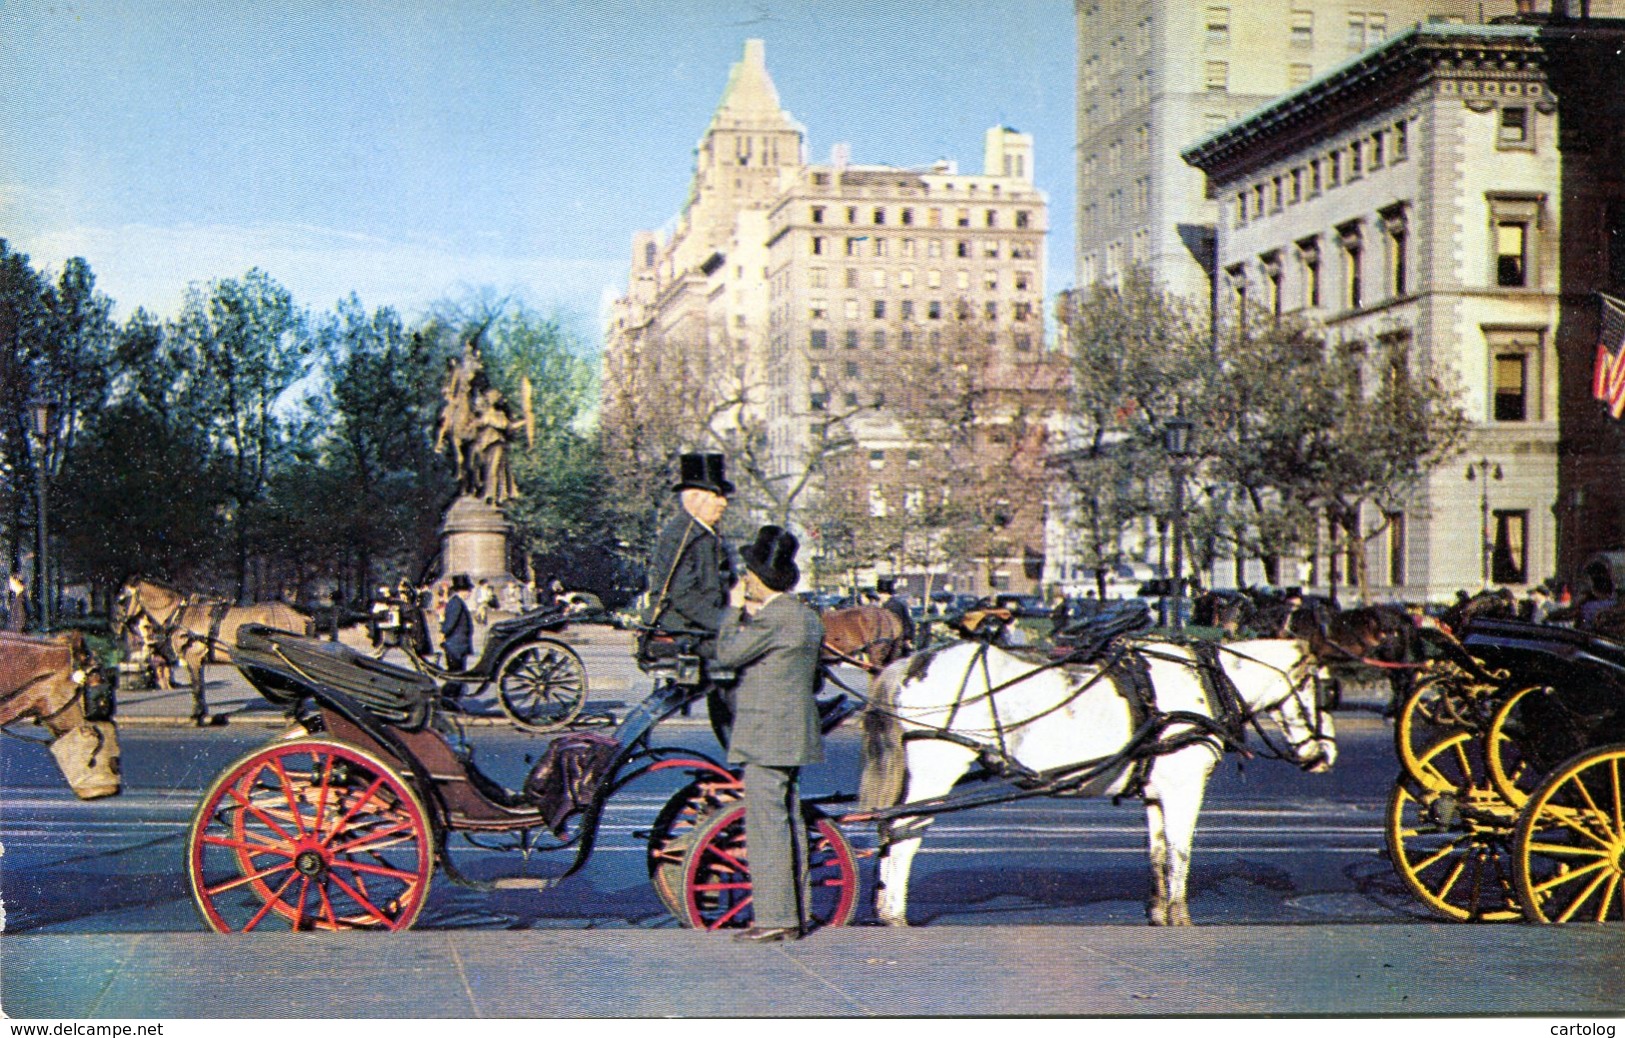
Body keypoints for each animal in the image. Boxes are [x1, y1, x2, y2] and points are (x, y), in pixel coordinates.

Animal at [117, 581, 310, 727]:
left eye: (121, 600)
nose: (118, 626)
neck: (181, 613)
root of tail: (299, 616)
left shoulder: (193, 658)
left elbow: (196, 686)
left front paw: (197, 716)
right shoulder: (197, 660)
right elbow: (200, 687)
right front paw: (202, 714)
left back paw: (293, 712)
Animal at [858, 636, 1339, 929]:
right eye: (1323, 691)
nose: (1328, 755)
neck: (1205, 682)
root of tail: (912, 661)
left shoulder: (1157, 793)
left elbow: (1158, 853)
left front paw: (1158, 913)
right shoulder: (1184, 788)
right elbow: (1180, 852)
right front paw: (1180, 917)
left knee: (888, 832)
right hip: (936, 770)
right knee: (902, 834)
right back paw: (893, 914)